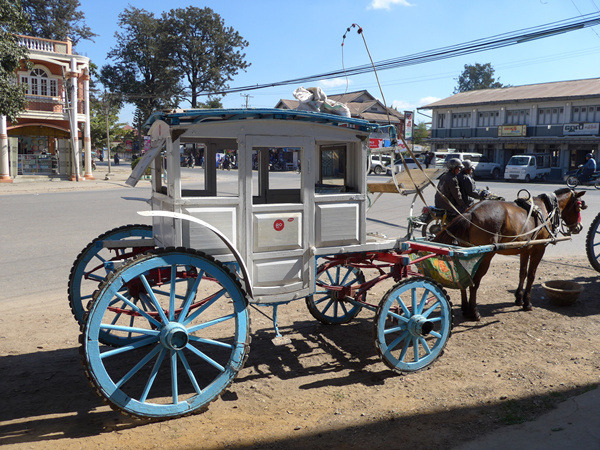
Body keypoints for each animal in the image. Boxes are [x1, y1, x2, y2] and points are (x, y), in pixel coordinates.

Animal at [436, 188, 584, 322]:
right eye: (578, 207)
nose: (579, 227)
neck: (545, 210)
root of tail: (470, 213)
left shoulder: (525, 250)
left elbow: (522, 273)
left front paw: (519, 298)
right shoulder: (539, 249)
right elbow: (531, 275)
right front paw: (527, 303)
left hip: (466, 253)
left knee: (464, 278)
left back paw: (465, 308)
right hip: (485, 256)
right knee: (475, 282)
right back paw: (474, 312)